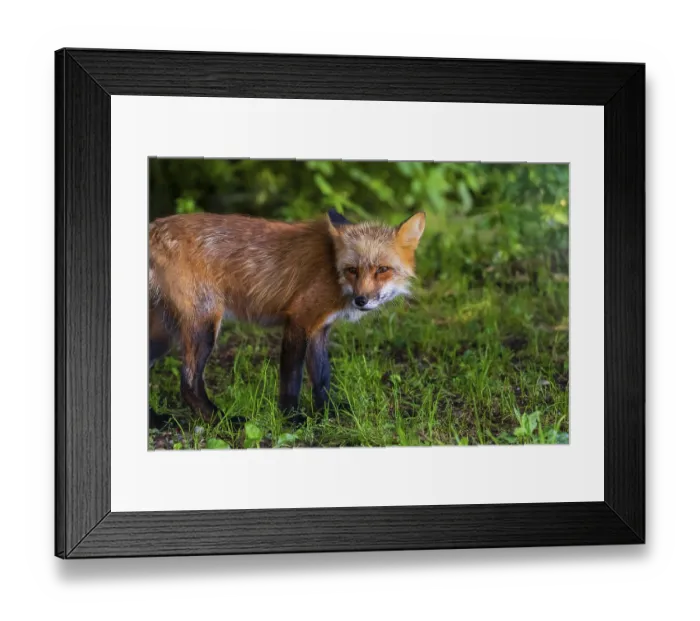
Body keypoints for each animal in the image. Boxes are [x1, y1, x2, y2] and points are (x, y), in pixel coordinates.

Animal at [148, 208, 426, 424]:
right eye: (352, 270)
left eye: (383, 269)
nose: (361, 300)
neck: (331, 267)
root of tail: (154, 227)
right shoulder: (299, 320)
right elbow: (292, 379)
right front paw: (291, 418)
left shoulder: (319, 328)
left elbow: (322, 378)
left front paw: (326, 412)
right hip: (204, 325)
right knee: (188, 384)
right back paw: (223, 420)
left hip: (164, 335)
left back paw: (156, 421)